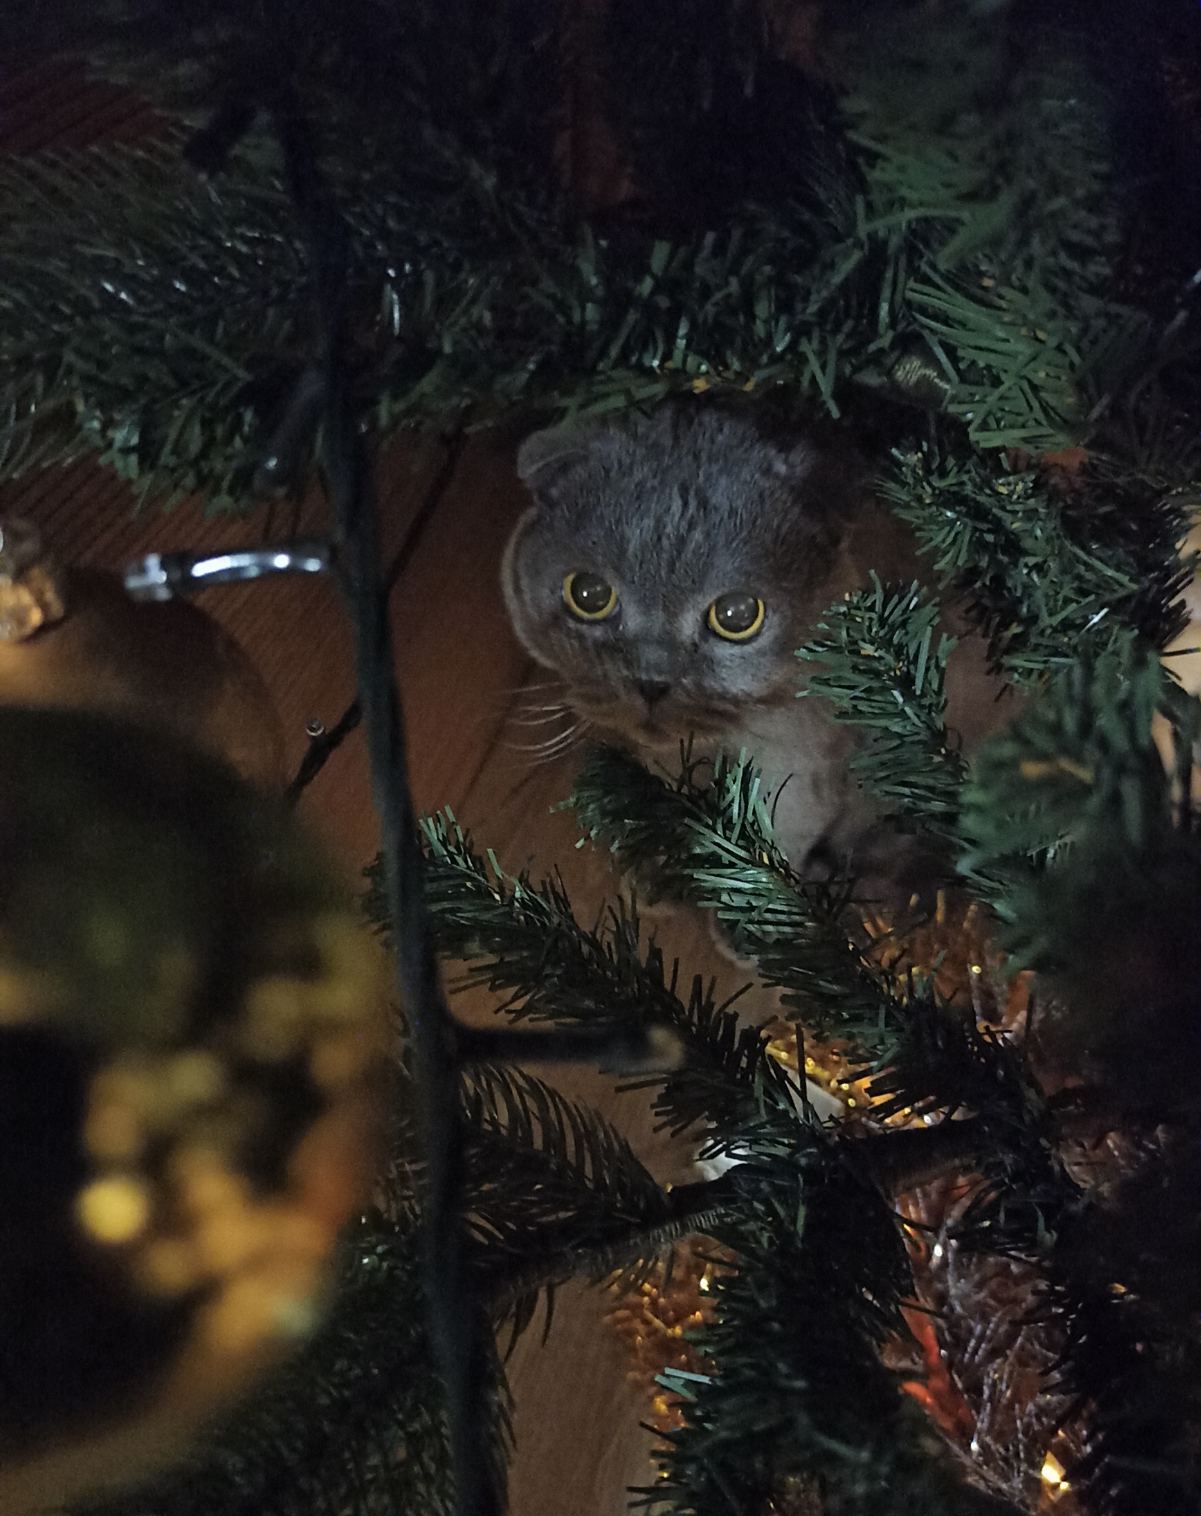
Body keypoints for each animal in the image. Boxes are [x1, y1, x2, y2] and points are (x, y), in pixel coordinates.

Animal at [501, 399, 1007, 905]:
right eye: (588, 595)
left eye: (737, 614)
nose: (650, 681)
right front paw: (660, 867)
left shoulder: (806, 762)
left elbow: (774, 840)